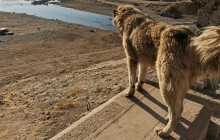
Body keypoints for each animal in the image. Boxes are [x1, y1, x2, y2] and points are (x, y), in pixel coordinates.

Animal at [112, 4, 219, 138]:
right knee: (179, 107)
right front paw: (140, 88)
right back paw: (168, 119)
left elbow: (131, 80)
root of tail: (190, 41)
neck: (130, 17)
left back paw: (165, 132)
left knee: (176, 113)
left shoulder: (131, 59)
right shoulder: (143, 62)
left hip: (165, 82)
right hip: (179, 84)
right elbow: (141, 77)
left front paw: (130, 93)